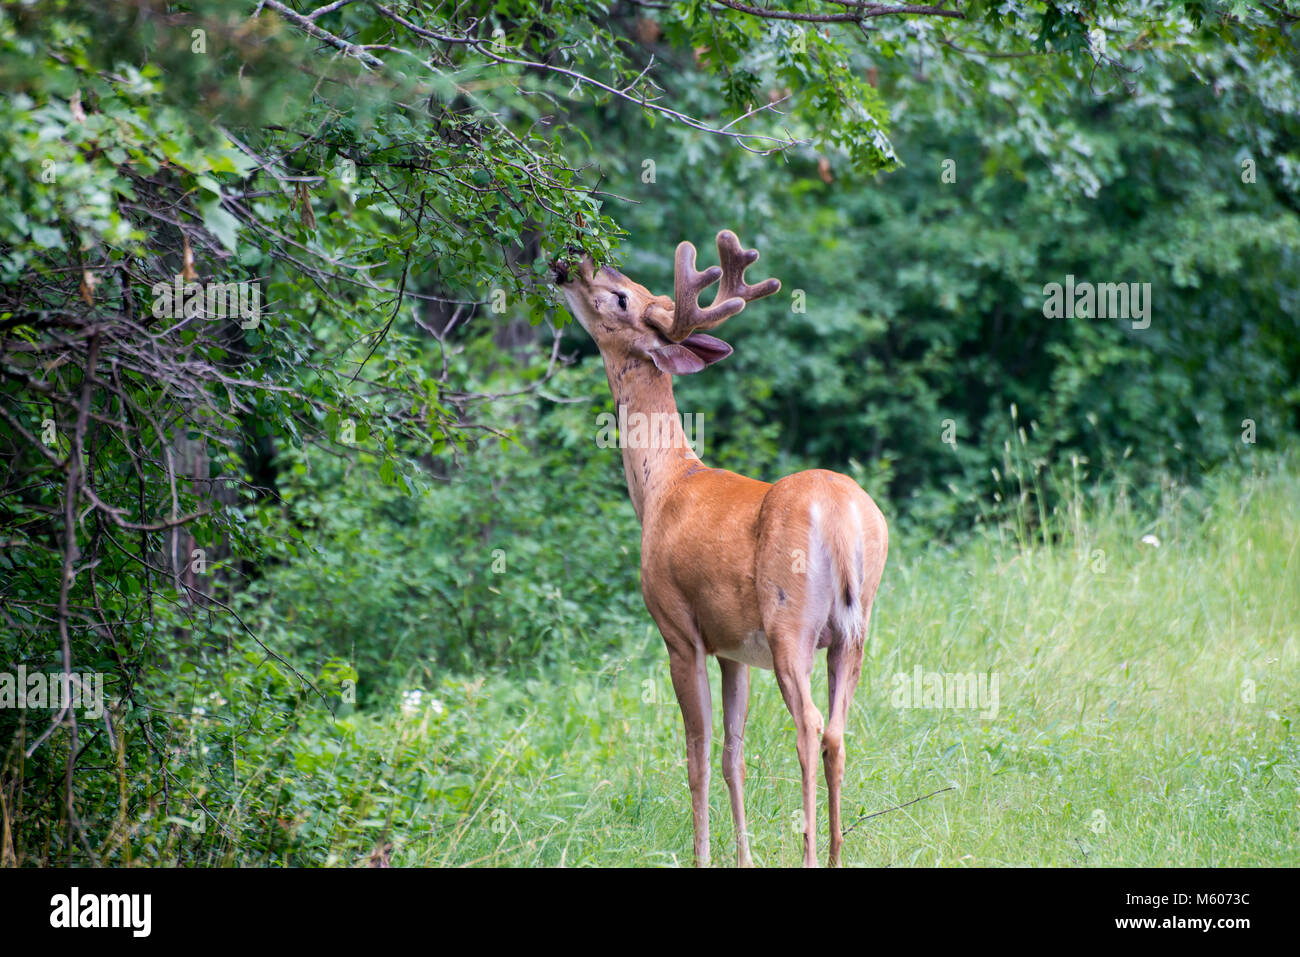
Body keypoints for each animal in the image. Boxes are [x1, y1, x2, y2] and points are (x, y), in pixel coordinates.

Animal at [553, 231, 889, 868]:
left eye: (622, 298)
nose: (573, 260)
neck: (663, 484)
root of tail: (841, 517)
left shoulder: (680, 630)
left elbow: (699, 753)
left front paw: (703, 855)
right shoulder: (734, 647)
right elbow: (734, 753)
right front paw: (743, 856)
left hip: (790, 622)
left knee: (810, 725)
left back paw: (810, 853)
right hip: (854, 628)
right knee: (837, 730)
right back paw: (837, 853)